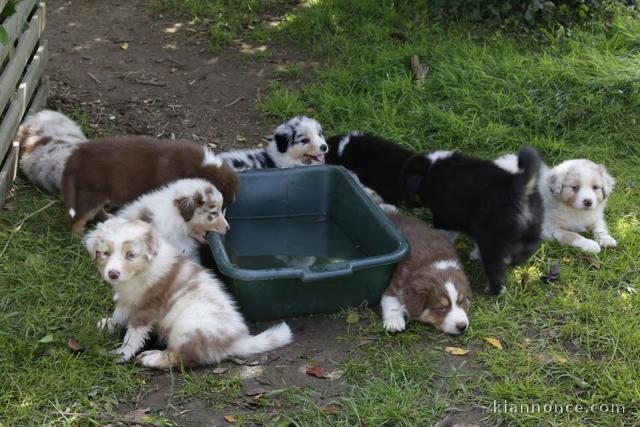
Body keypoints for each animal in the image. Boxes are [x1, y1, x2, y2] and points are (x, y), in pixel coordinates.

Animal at [84, 219, 292, 370]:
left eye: (131, 255)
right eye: (105, 253)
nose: (113, 274)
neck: (140, 273)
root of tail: (235, 341)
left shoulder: (148, 307)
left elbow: (133, 335)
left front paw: (121, 353)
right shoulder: (129, 298)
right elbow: (119, 313)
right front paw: (108, 324)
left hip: (188, 325)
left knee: (184, 358)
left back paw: (151, 358)